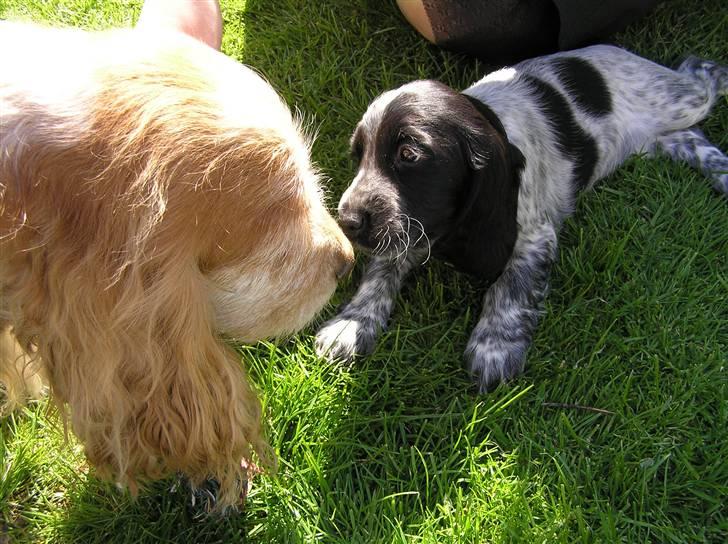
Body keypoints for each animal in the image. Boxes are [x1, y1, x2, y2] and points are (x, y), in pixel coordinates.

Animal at [316, 44, 724, 388]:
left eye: (409, 154)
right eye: (359, 156)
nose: (347, 222)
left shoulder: (533, 234)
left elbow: (511, 285)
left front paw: (495, 344)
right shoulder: (408, 230)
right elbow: (381, 270)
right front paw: (352, 324)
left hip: (679, 99)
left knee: (700, 77)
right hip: (653, 141)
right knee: (690, 139)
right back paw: (723, 173)